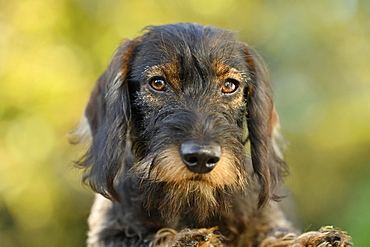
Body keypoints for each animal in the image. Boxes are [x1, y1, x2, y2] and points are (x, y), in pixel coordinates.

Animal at [73, 22, 352, 246]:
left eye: (230, 85)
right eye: (158, 83)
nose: (201, 158)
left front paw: (311, 240)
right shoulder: (111, 234)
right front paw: (186, 239)